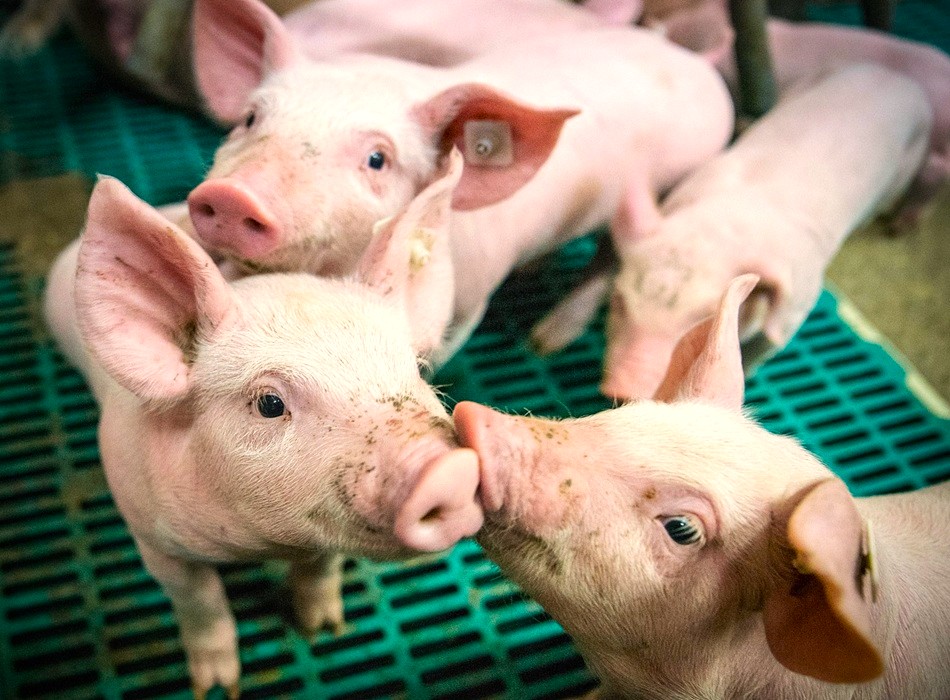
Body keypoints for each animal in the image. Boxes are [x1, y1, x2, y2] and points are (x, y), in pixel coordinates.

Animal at [42, 151, 485, 697]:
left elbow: (320, 570)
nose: (449, 468)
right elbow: (200, 602)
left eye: (418, 369)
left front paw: (326, 632)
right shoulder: (153, 538)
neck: (253, 543)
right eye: (269, 403)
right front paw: (216, 687)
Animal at [184, 0, 734, 363]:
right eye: (250, 118)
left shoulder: (471, 298)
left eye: (378, 159)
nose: (233, 195)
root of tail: (694, 63)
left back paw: (544, 340)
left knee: (609, 258)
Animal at [532, 63, 932, 400]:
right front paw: (540, 344)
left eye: (706, 322)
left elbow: (764, 346)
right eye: (619, 301)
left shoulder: (798, 305)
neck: (721, 229)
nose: (621, 388)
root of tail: (894, 75)